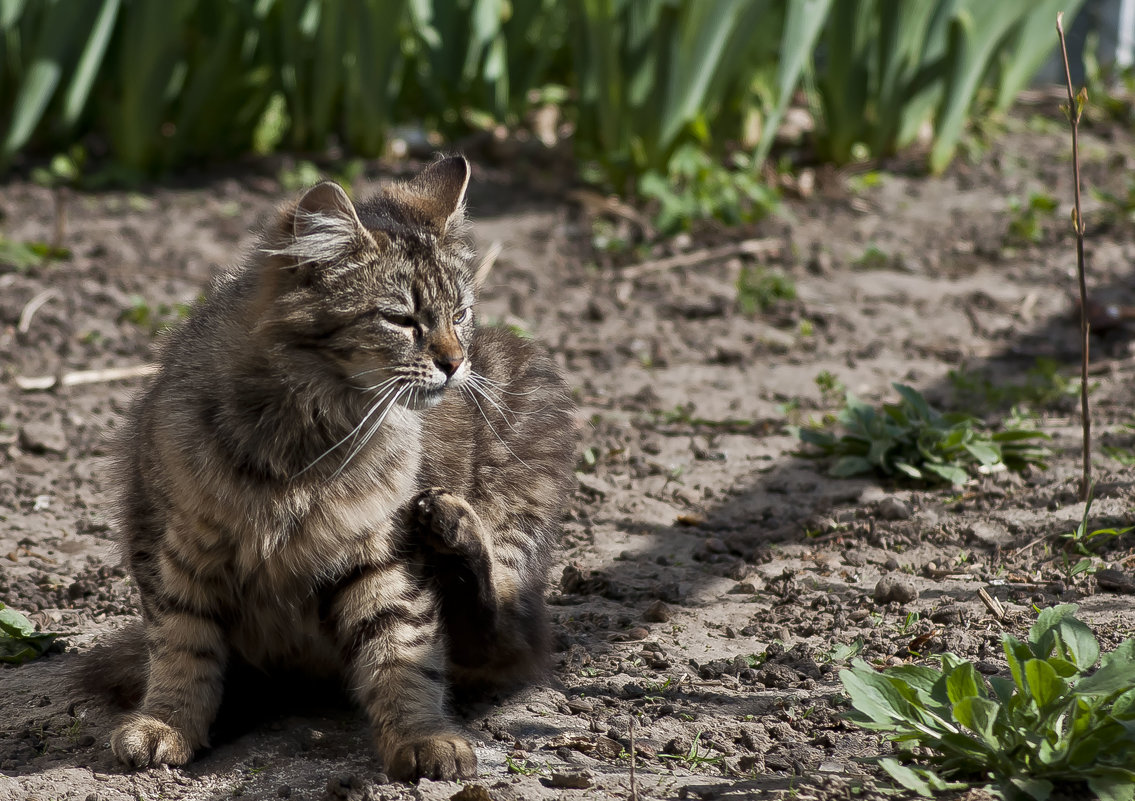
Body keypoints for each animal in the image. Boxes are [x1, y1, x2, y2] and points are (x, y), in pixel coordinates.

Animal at [108, 156, 576, 780]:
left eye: (460, 315)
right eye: (401, 319)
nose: (456, 364)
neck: (305, 442)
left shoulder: (379, 553)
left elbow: (403, 653)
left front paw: (424, 737)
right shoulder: (177, 547)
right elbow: (182, 647)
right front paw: (166, 723)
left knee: (507, 629)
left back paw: (451, 528)